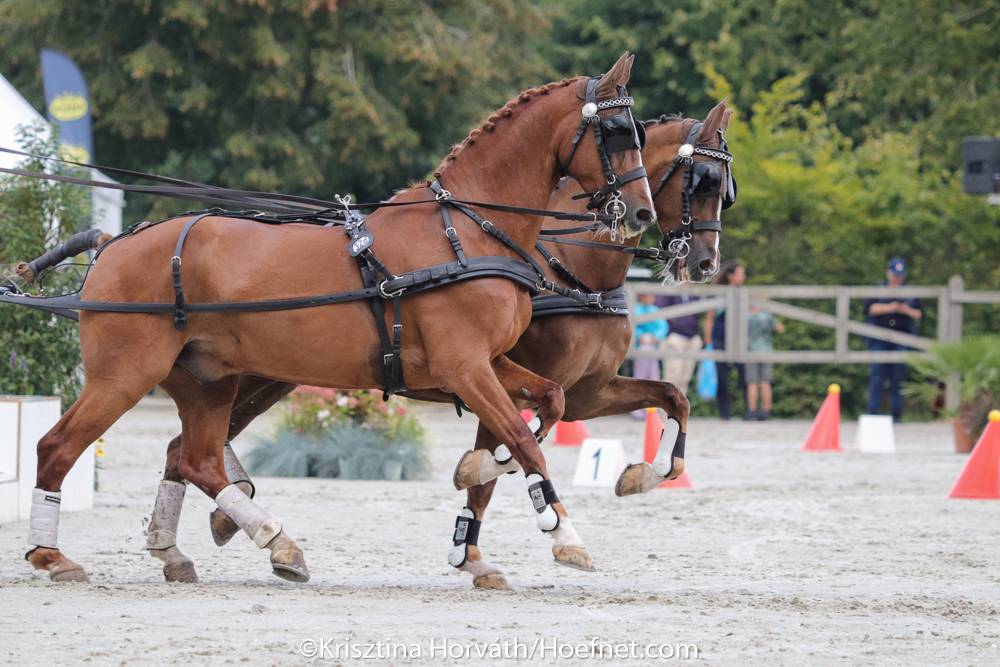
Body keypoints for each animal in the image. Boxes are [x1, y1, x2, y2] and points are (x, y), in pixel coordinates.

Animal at [23, 52, 656, 584]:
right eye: (617, 133)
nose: (643, 214)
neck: (466, 232)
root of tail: (113, 245)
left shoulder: (489, 362)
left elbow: (547, 404)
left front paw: (479, 466)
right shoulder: (465, 366)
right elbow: (527, 441)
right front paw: (563, 533)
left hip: (207, 381)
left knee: (197, 460)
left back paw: (269, 543)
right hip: (125, 375)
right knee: (58, 447)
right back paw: (52, 555)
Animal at [144, 103, 736, 588]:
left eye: (723, 190)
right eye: (702, 181)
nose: (706, 262)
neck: (569, 269)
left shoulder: (587, 391)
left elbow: (672, 399)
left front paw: (642, 475)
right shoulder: (489, 378)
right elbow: (506, 458)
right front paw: (482, 534)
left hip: (263, 376)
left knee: (183, 449)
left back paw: (193, 538)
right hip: (251, 375)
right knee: (186, 450)